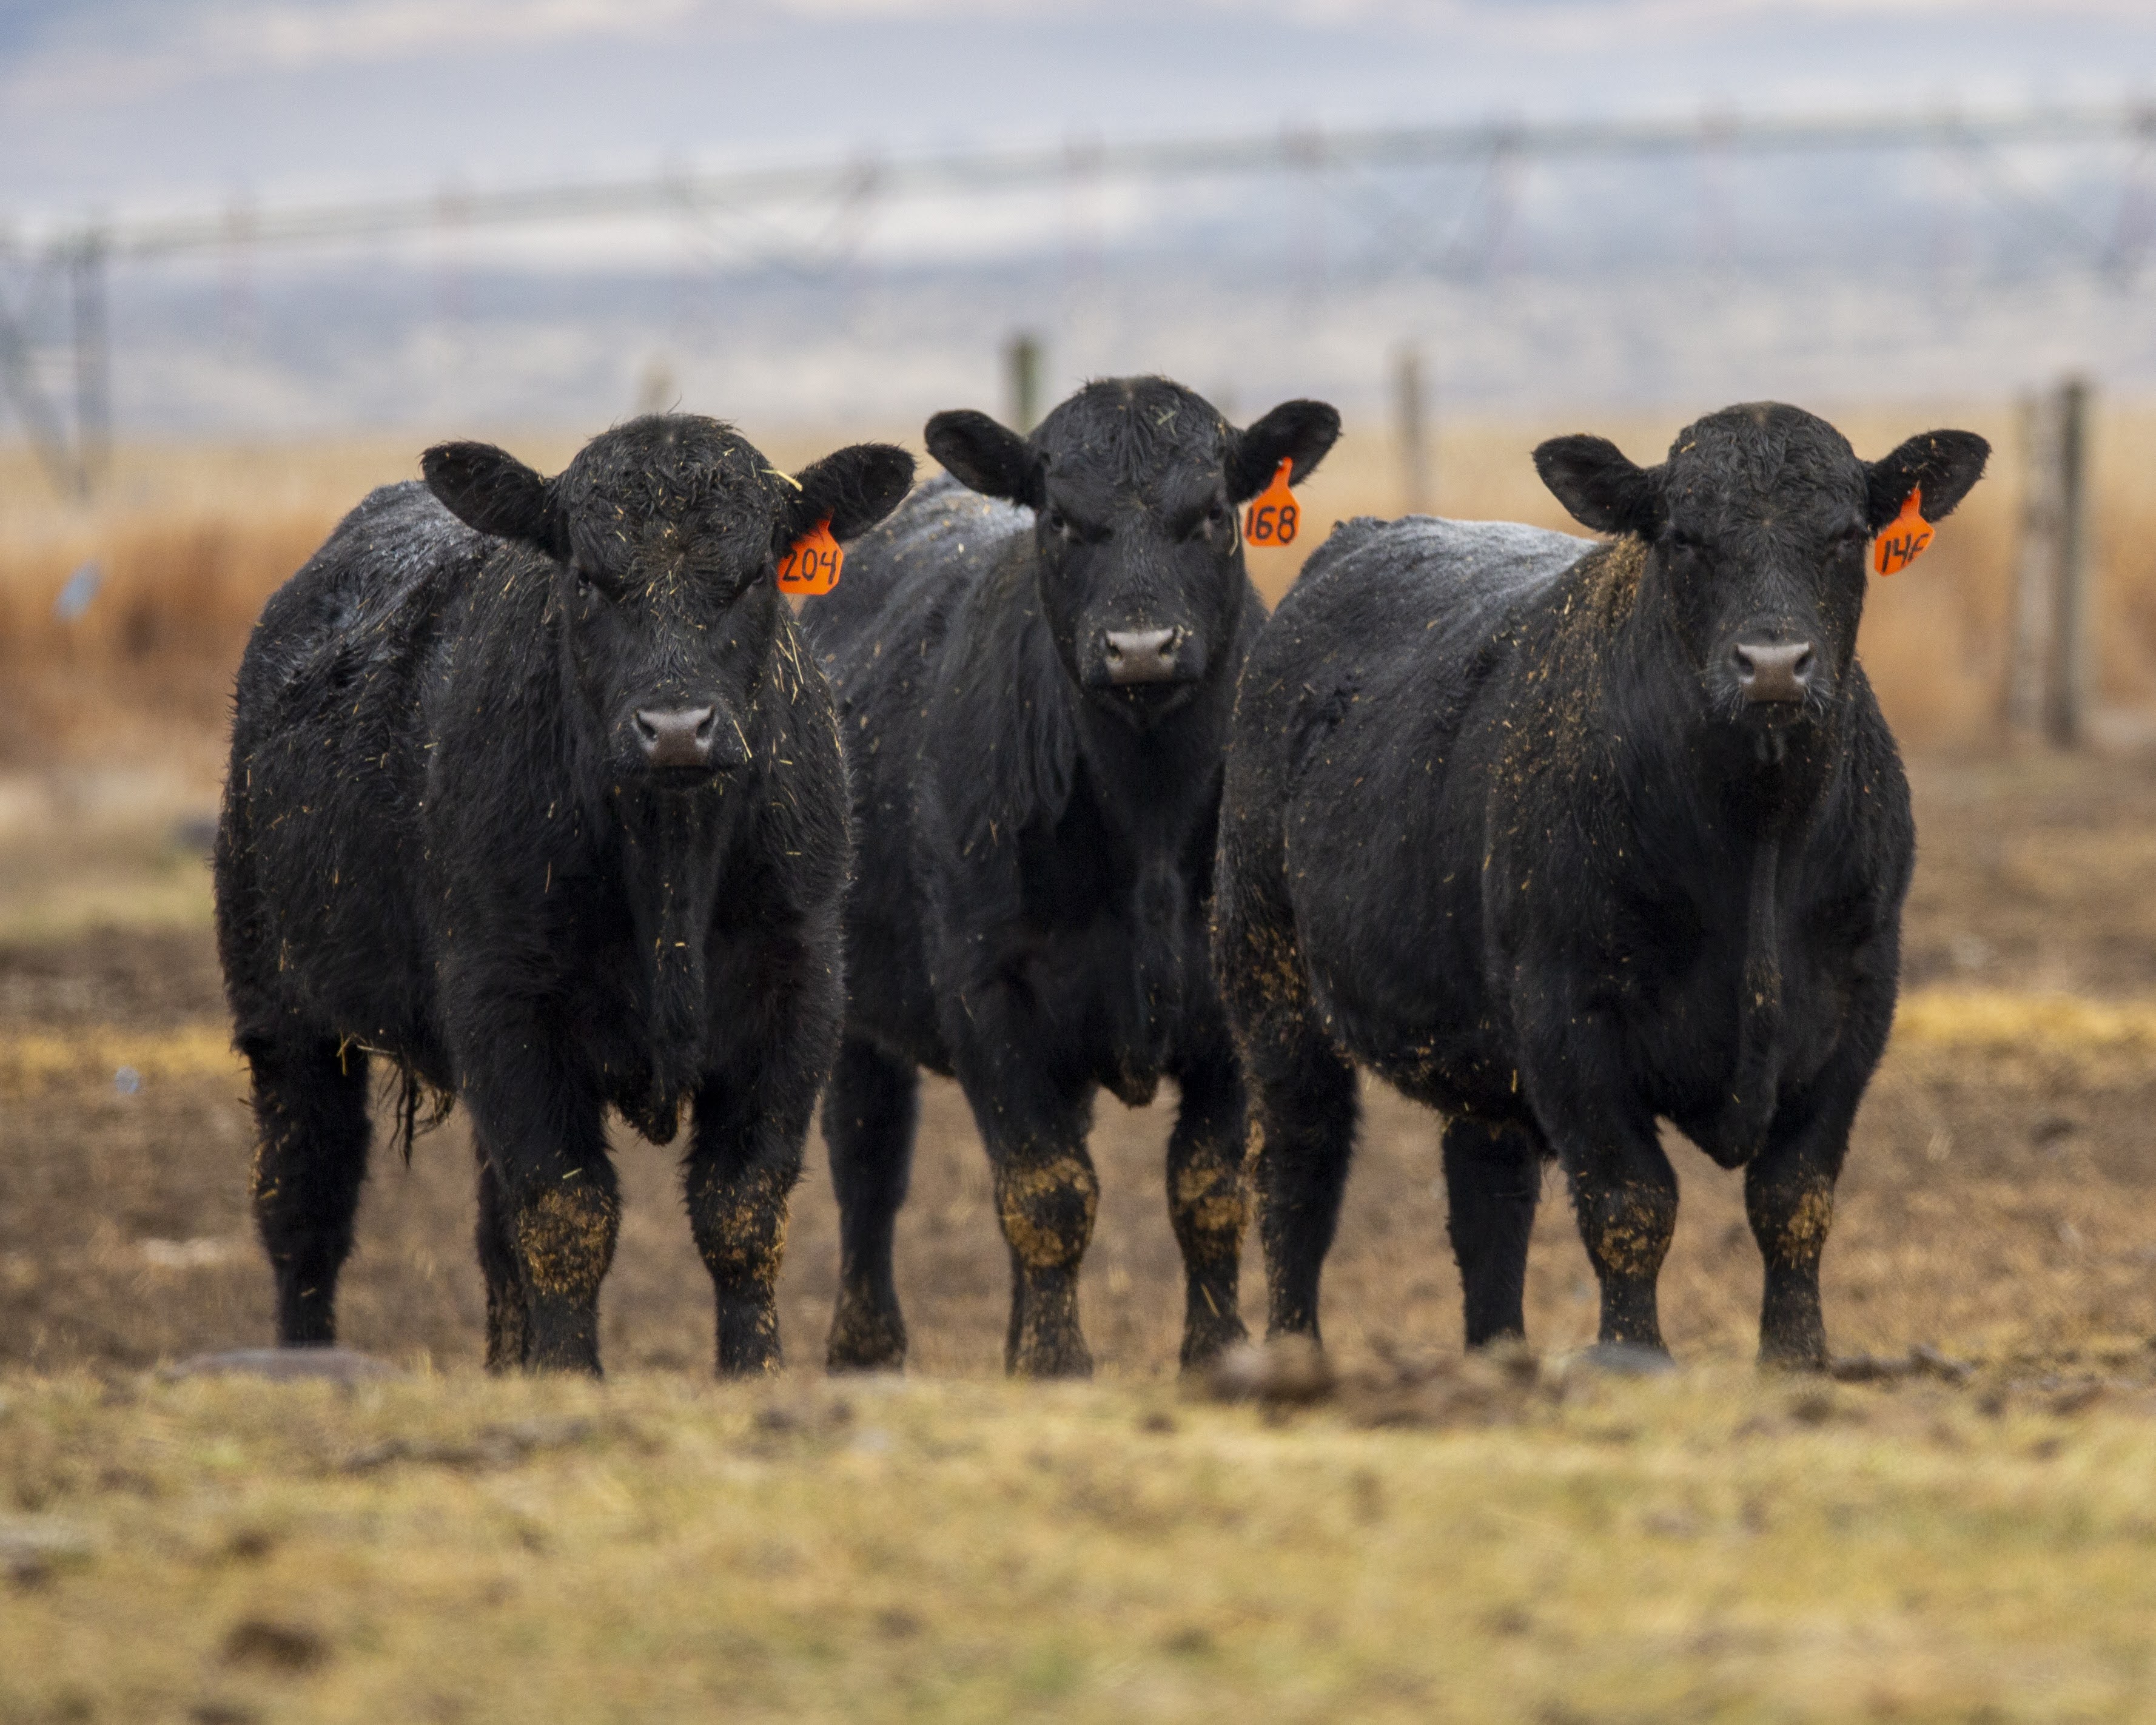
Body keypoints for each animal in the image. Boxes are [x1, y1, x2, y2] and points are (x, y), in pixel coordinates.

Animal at [214, 415, 914, 1375]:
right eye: (587, 576)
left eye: (753, 576)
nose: (676, 730)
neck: (668, 870)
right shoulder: (507, 1010)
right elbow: (567, 1218)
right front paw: (573, 1375)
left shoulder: (798, 996)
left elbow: (740, 1215)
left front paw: (751, 1372)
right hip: (282, 1011)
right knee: (303, 1213)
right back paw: (304, 1364)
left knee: (485, 1233)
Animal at [800, 376, 1339, 1377]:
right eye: (1058, 518)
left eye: (1212, 512)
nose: (1140, 647)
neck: (1148, 826)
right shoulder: (987, 996)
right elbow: (1044, 1193)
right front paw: (1056, 1364)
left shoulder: (1231, 999)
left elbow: (1206, 1192)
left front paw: (1211, 1353)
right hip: (853, 1006)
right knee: (867, 1166)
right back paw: (866, 1351)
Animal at [1214, 403, 1988, 1369]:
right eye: (1684, 537)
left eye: (1847, 535)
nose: (1773, 666)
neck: (1755, 839)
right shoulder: (1567, 1012)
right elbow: (1631, 1200)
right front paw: (1632, 1354)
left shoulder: (1857, 1001)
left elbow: (1792, 1198)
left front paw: (1797, 1354)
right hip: (1268, 977)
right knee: (1298, 1171)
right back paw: (1293, 1353)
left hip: (1475, 1046)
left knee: (1487, 1199)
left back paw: (1499, 1357)